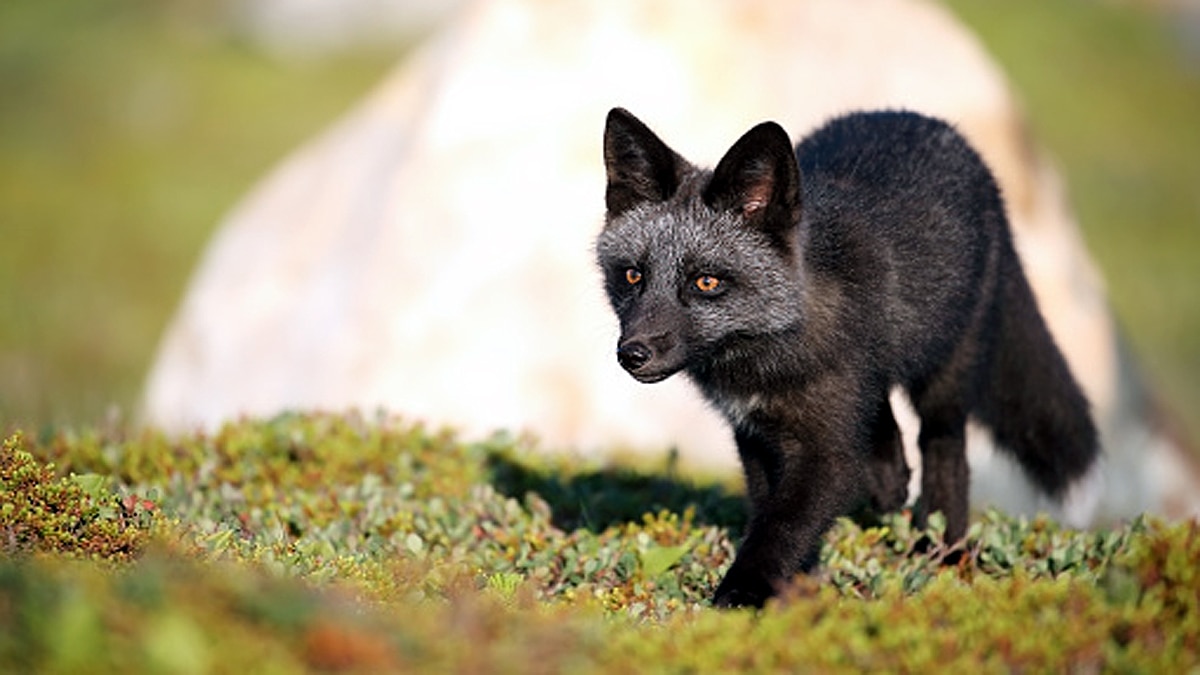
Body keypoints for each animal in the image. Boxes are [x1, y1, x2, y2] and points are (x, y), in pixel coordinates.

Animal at [595, 107, 1099, 608]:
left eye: (706, 282)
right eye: (633, 276)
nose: (631, 354)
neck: (768, 352)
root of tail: (928, 121)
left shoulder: (827, 450)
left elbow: (782, 524)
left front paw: (744, 592)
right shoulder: (753, 433)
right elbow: (769, 509)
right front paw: (799, 579)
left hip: (945, 377)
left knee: (945, 449)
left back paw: (944, 547)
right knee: (884, 415)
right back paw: (890, 480)